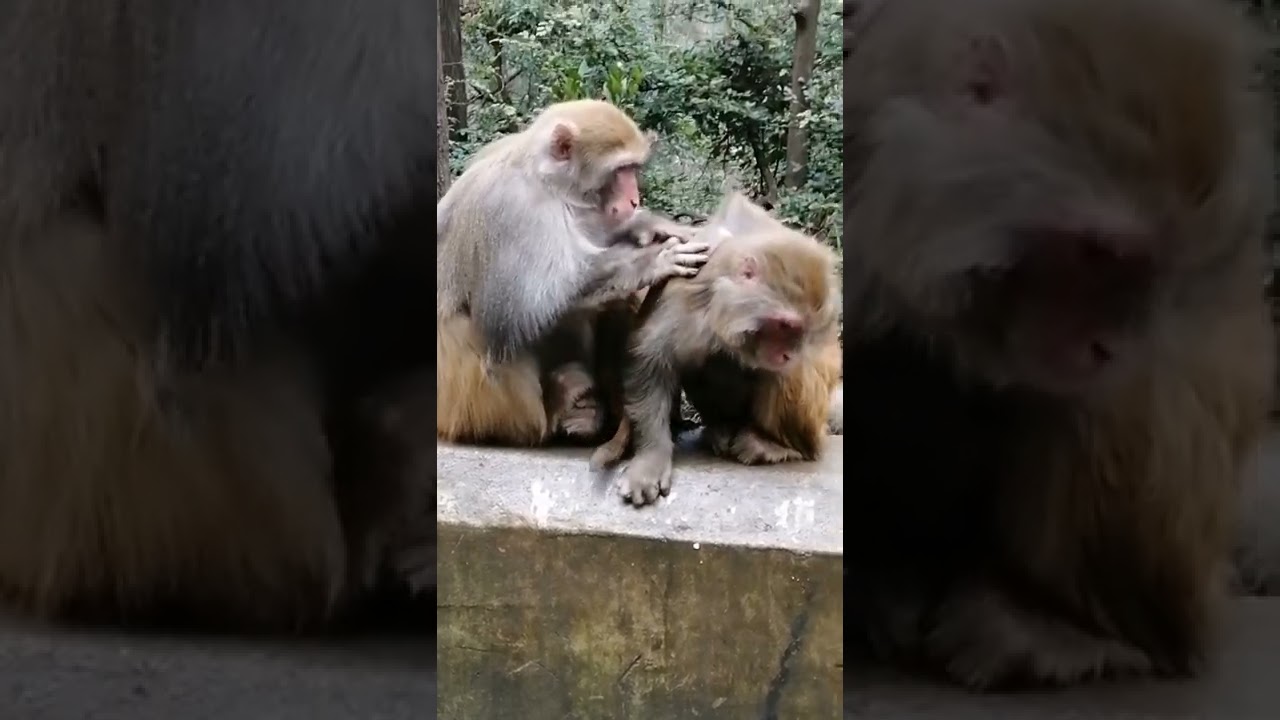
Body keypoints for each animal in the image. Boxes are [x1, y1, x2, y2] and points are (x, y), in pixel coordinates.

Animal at [436, 100, 711, 448]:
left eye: (632, 170)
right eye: (620, 171)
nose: (634, 200)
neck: (549, 183)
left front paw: (647, 226)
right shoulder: (515, 210)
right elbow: (514, 312)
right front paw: (650, 259)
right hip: (481, 404)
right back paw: (563, 409)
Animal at [595, 192, 842, 506]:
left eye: (802, 330)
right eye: (786, 326)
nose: (787, 353)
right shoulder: (681, 289)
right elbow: (650, 359)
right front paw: (651, 460)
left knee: (788, 375)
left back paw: (778, 445)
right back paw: (722, 428)